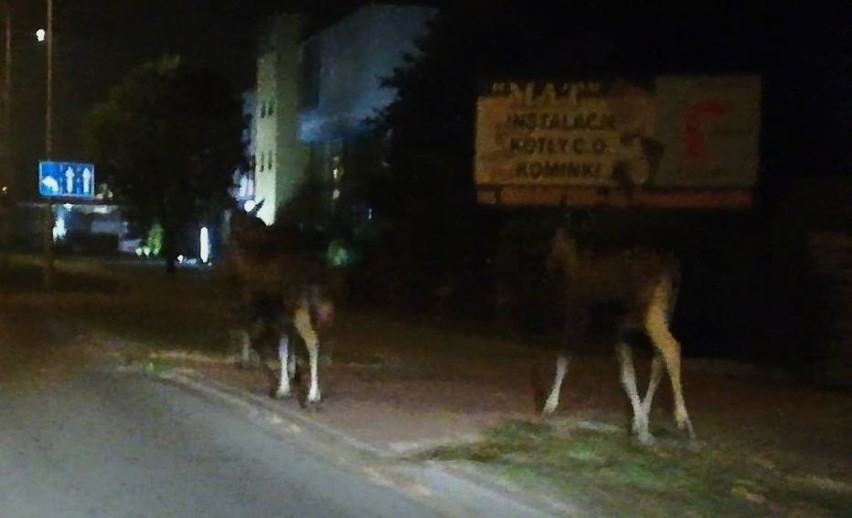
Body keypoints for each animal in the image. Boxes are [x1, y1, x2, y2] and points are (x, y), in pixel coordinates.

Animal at [544, 228, 696, 446]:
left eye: (552, 244)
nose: (547, 265)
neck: (574, 268)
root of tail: (672, 271)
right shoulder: (621, 331)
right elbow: (627, 375)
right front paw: (640, 426)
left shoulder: (578, 314)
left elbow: (564, 357)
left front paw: (549, 405)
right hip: (666, 312)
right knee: (659, 359)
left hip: (652, 313)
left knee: (672, 347)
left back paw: (683, 420)